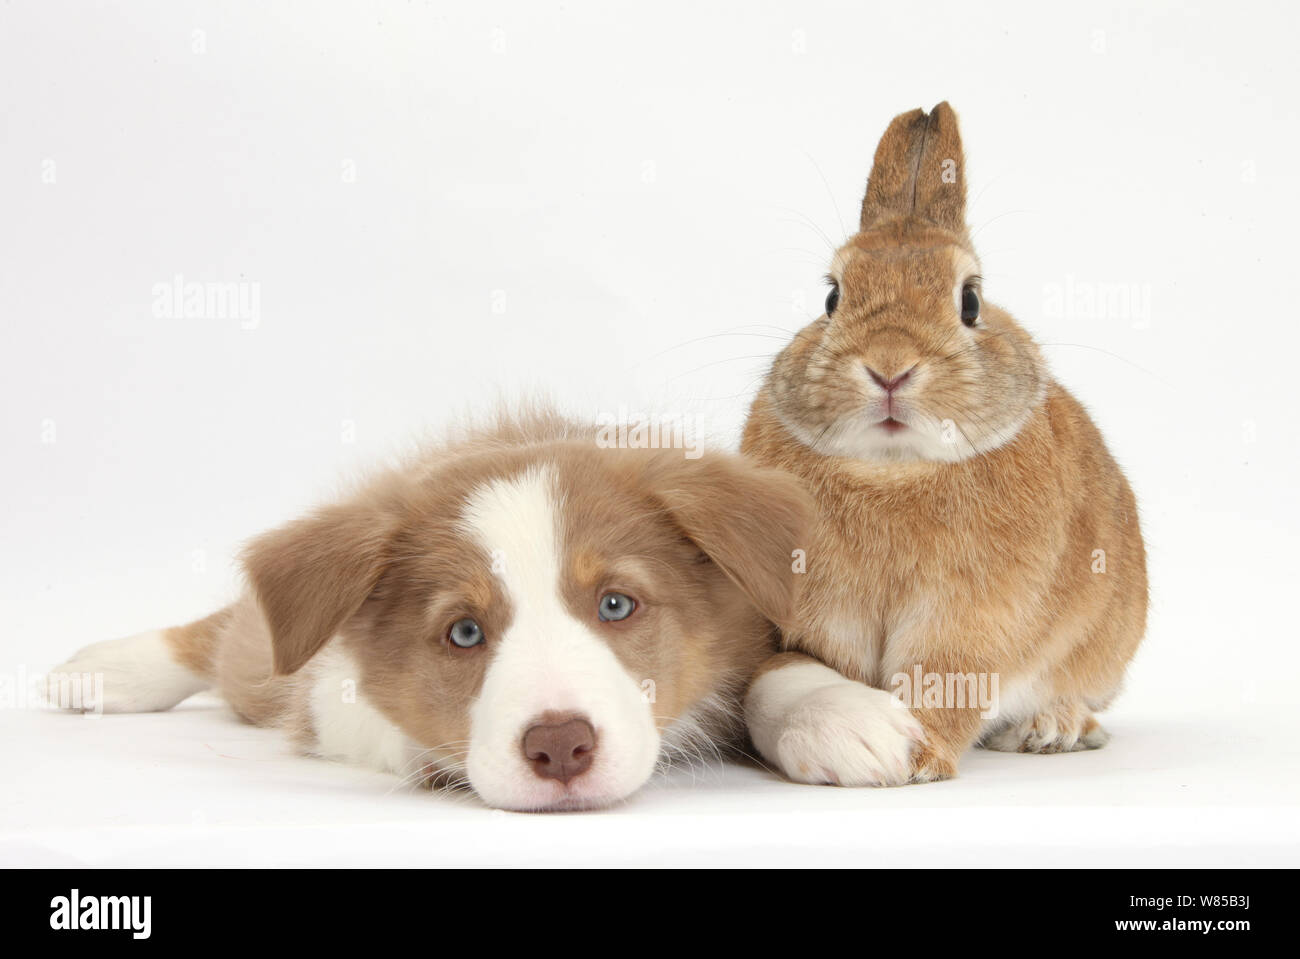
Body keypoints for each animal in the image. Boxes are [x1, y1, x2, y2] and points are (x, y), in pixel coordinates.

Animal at [743, 100, 1149, 784]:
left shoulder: (968, 621)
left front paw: (920, 758)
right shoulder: (824, 619)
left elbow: (944, 680)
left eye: (971, 302)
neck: (893, 471)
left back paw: (1052, 728)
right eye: (832, 297)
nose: (889, 367)